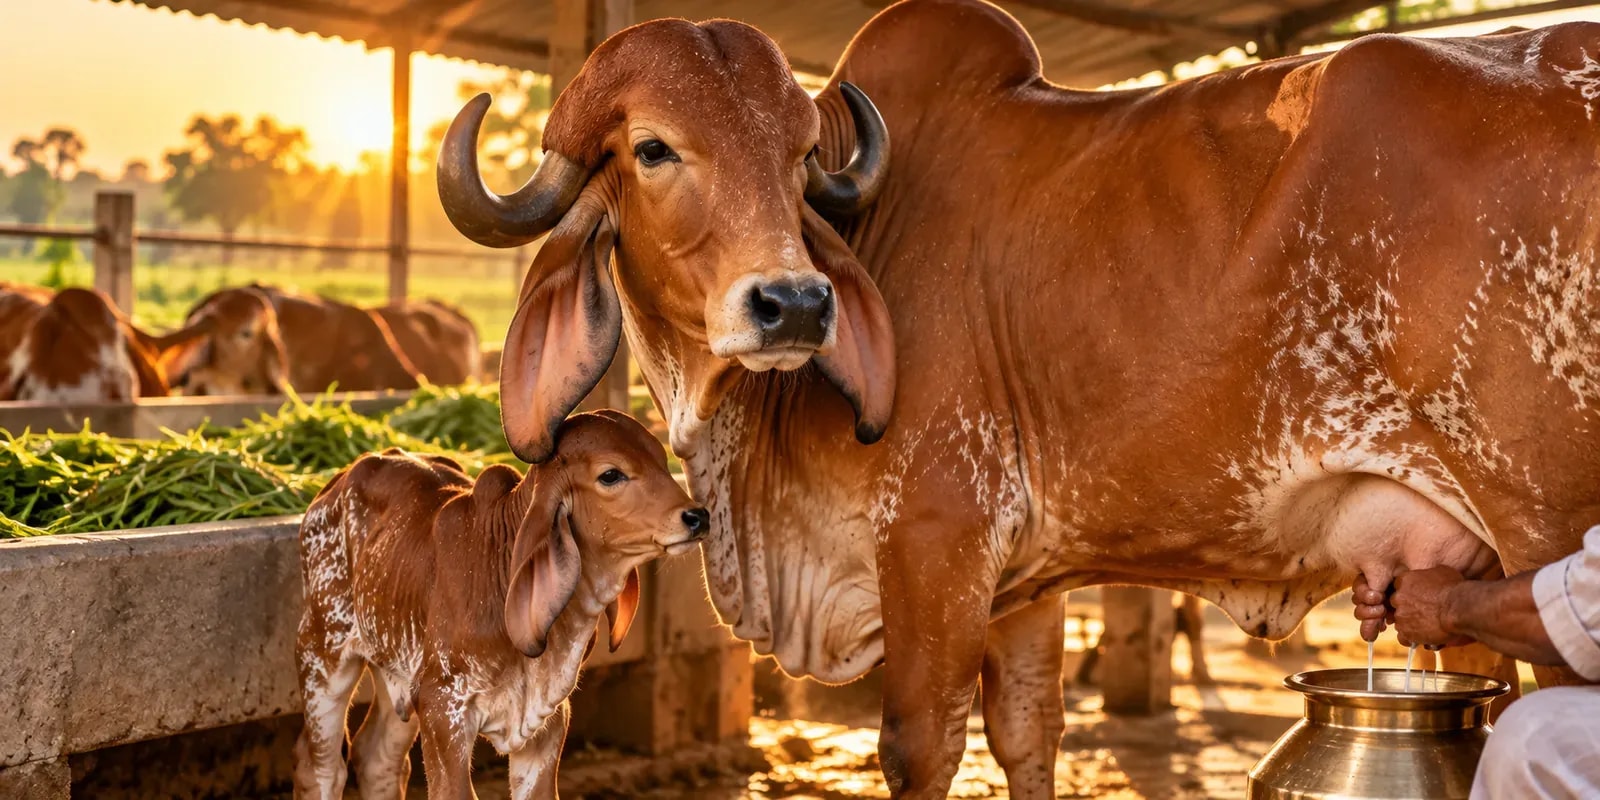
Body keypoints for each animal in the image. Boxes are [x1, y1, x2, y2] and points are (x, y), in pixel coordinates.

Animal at [293, 411, 707, 799]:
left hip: (397, 673)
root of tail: (339, 479)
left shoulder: (547, 725)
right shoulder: (442, 710)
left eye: (662, 458)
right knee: (321, 769)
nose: (697, 516)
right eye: (610, 475)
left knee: (376, 759)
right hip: (321, 656)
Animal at [435, 2, 1600, 797]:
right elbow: (1028, 734)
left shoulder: (936, 543)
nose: (795, 303)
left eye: (802, 156)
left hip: (1544, 519)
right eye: (652, 147)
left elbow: (921, 745)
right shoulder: (1024, 585)